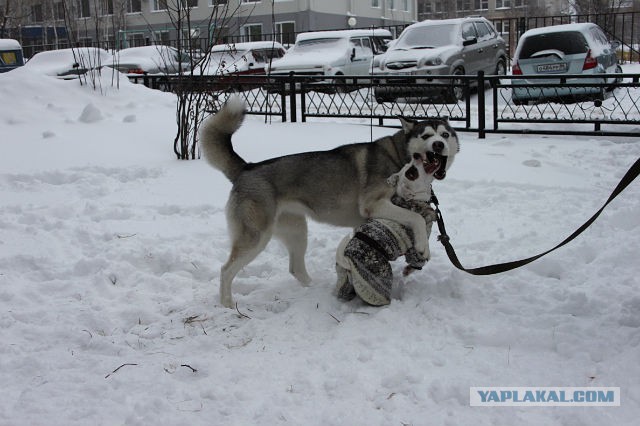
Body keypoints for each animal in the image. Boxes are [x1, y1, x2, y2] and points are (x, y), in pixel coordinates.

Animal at [332, 154, 438, 306]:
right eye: (411, 173)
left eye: (409, 167)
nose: (416, 156)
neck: (413, 199)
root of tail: (346, 258)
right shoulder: (414, 250)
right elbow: (417, 260)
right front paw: (409, 270)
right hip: (379, 278)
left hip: (344, 278)